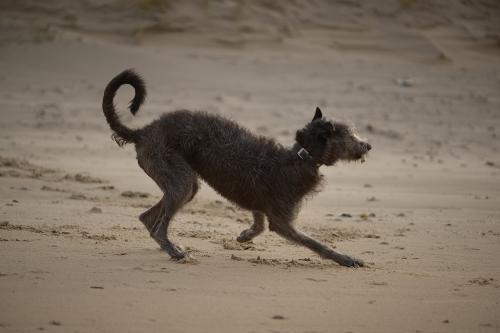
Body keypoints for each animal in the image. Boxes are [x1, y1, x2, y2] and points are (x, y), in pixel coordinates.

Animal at [101, 70, 372, 268]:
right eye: (349, 135)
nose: (368, 145)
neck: (301, 156)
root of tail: (143, 132)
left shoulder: (260, 203)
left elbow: (259, 222)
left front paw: (245, 236)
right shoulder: (282, 221)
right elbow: (315, 243)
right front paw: (345, 258)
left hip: (183, 185)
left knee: (148, 218)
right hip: (178, 180)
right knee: (158, 226)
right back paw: (175, 252)